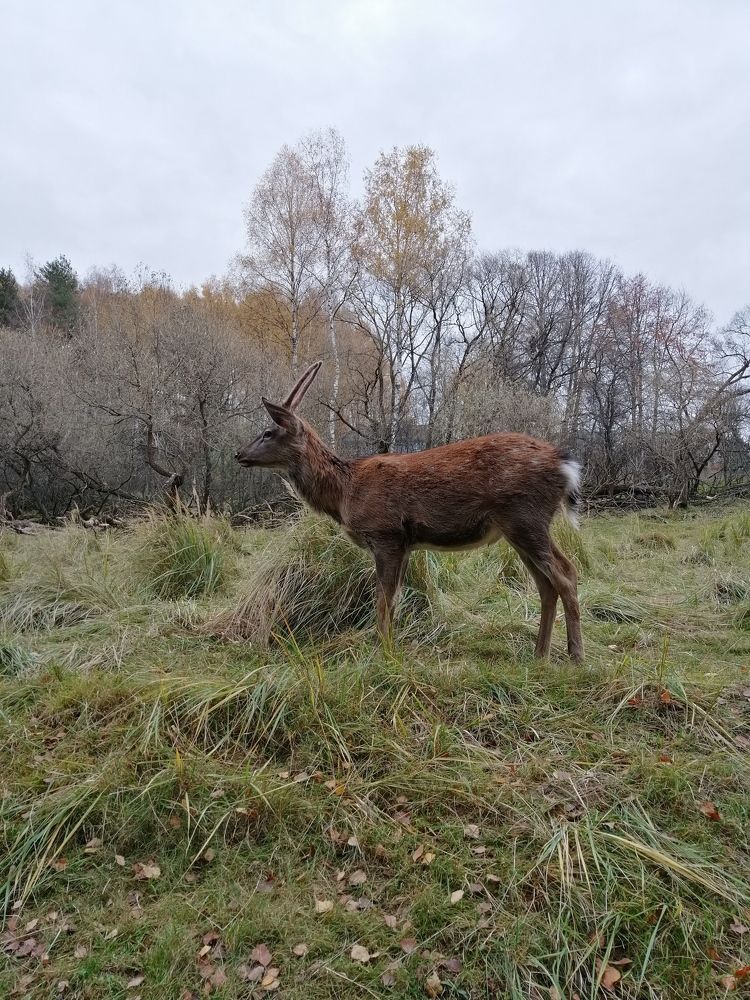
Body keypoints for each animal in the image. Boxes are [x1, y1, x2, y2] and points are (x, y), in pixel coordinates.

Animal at [236, 362, 584, 661]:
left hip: (525, 517)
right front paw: (390, 648)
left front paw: (384, 653)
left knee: (566, 574)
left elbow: (384, 599)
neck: (345, 491)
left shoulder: (386, 534)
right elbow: (395, 599)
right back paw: (539, 655)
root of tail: (566, 466)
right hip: (522, 527)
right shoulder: (405, 543)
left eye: (268, 432)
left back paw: (575, 657)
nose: (239, 454)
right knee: (547, 584)